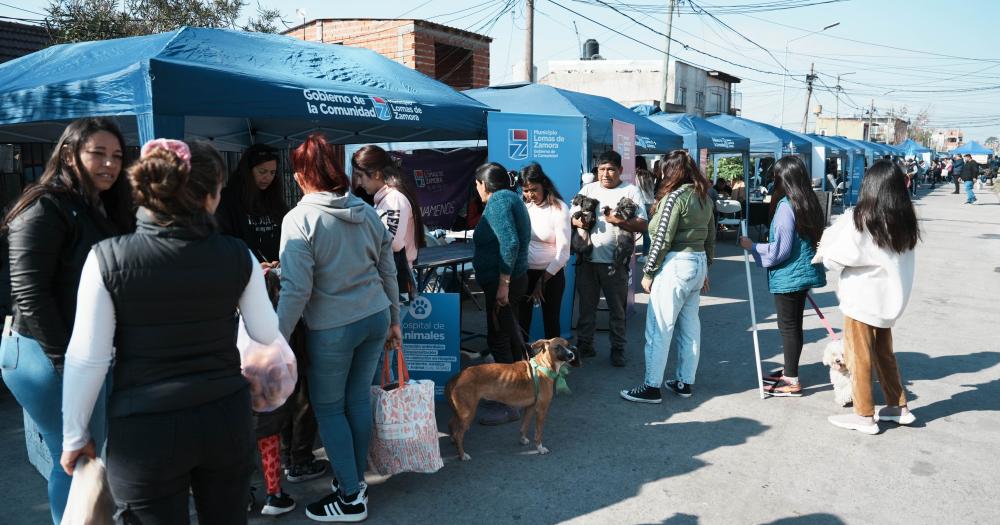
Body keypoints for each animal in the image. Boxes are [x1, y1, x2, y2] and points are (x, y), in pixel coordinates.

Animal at [448, 338, 580, 460]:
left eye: (568, 345)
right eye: (557, 347)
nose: (571, 354)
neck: (542, 366)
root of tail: (457, 377)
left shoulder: (530, 407)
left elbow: (524, 426)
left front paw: (522, 440)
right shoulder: (541, 410)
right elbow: (538, 433)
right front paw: (539, 448)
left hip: (458, 411)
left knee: (452, 425)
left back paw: (453, 442)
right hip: (467, 413)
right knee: (459, 434)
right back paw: (462, 455)